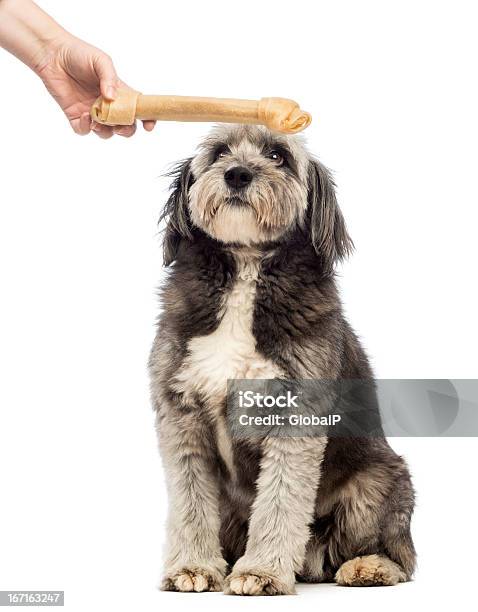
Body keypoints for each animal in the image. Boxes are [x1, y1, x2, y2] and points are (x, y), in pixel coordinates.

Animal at [149, 125, 414, 596]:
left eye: (278, 156)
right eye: (219, 153)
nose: (237, 174)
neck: (246, 268)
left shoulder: (295, 415)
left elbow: (281, 498)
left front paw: (262, 572)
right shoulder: (181, 416)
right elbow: (190, 500)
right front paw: (192, 567)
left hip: (377, 483)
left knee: (400, 556)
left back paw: (369, 567)